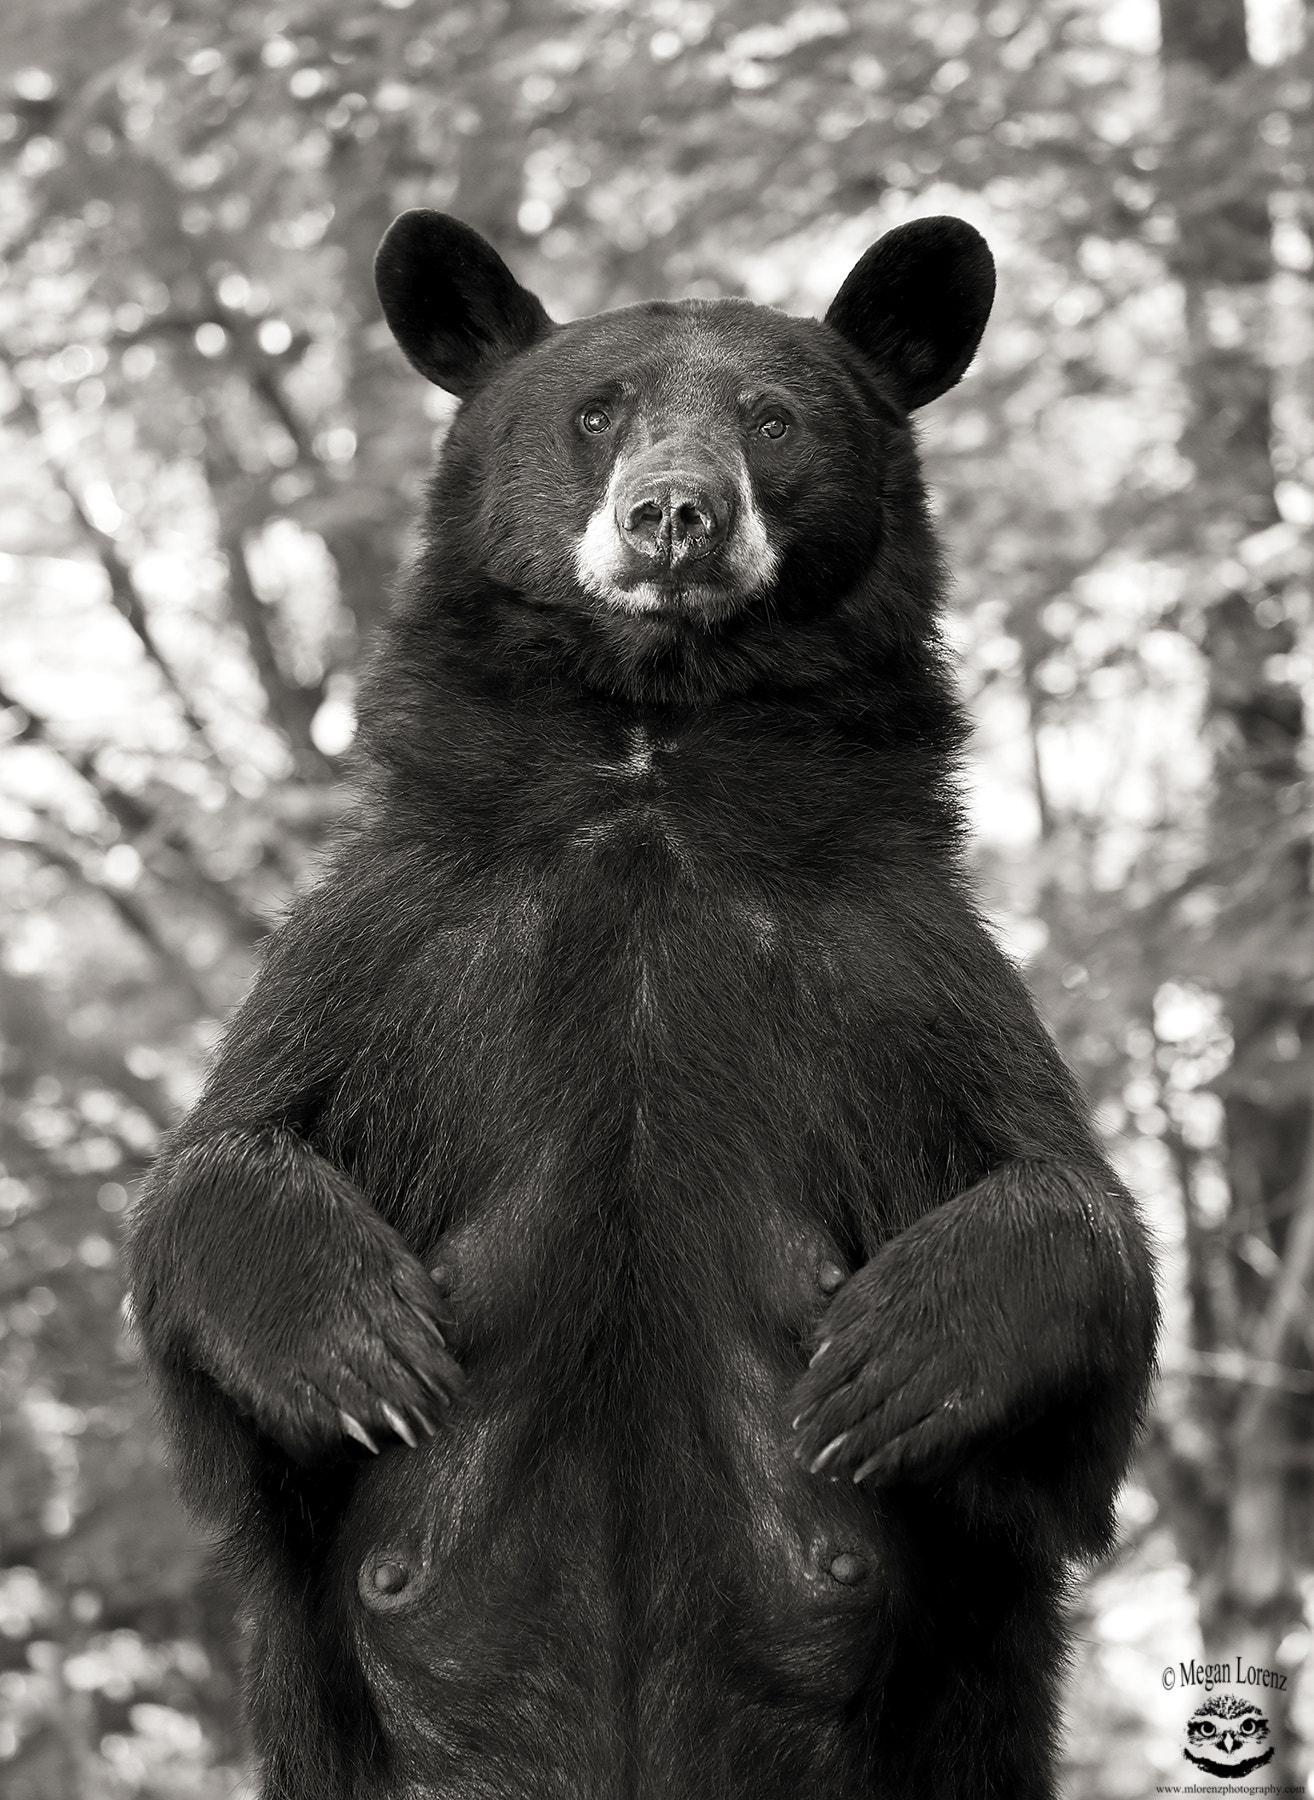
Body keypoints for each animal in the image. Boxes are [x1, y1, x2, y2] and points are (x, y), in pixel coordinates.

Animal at [126, 210, 1159, 1800]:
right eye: (595, 412)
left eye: (772, 419)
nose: (676, 516)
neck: (651, 773)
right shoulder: (398, 941)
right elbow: (212, 1170)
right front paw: (360, 1342)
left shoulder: (898, 967)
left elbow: (1075, 1230)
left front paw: (891, 1359)